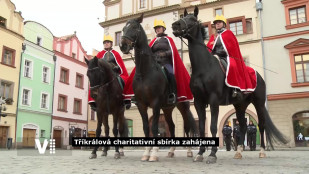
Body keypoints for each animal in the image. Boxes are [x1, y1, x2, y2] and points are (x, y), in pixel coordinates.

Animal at [119, 13, 196, 162]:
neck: (145, 73)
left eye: (134, 27)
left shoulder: (155, 104)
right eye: (123, 28)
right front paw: (146, 153)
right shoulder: (142, 105)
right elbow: (146, 128)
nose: (123, 45)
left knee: (187, 126)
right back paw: (171, 151)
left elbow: (154, 128)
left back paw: (189, 152)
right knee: (172, 126)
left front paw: (153, 154)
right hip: (167, 109)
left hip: (183, 106)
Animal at [172, 6, 288, 163]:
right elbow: (202, 127)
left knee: (261, 125)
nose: (175, 25)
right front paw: (200, 153)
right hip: (240, 105)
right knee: (243, 125)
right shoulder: (198, 102)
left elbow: (213, 127)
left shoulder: (213, 100)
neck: (203, 67)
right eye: (183, 17)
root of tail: (258, 75)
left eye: (192, 19)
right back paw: (238, 151)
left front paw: (212, 154)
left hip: (258, 104)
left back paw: (262, 151)